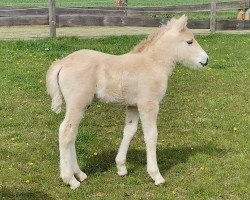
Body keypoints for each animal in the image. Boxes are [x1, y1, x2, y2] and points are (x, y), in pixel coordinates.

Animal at [46, 16, 208, 189]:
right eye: (189, 42)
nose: (206, 60)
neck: (153, 64)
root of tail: (62, 62)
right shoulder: (148, 104)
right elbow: (151, 135)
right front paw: (156, 175)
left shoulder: (133, 105)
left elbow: (129, 131)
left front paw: (121, 167)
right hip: (77, 103)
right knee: (65, 132)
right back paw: (70, 179)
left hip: (82, 105)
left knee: (72, 134)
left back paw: (80, 174)